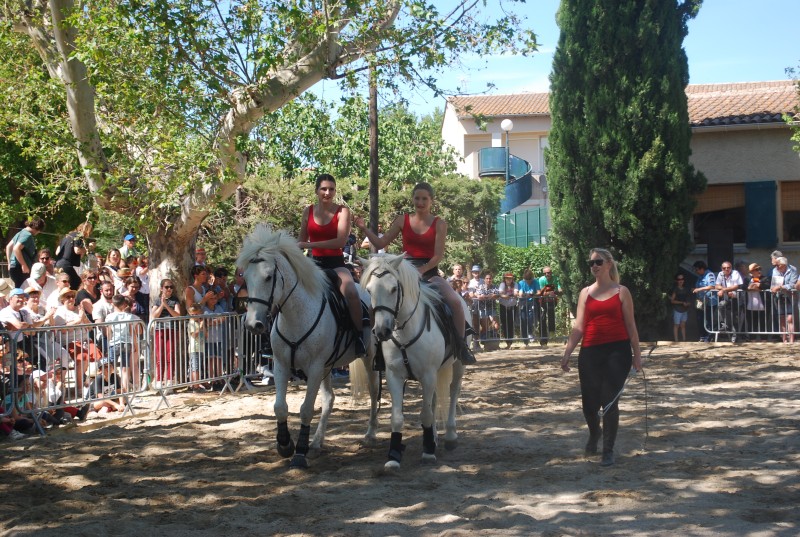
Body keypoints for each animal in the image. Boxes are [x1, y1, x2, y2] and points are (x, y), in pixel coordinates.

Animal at [236, 224, 380, 466]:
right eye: (246, 277)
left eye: (268, 277)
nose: (253, 324)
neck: (297, 315)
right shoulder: (282, 365)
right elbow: (280, 407)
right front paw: (285, 445)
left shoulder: (313, 367)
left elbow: (305, 410)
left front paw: (299, 453)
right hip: (328, 366)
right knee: (329, 399)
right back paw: (317, 443)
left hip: (368, 358)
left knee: (373, 390)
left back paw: (370, 435)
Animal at [360, 253, 466, 466]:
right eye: (369, 290)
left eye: (394, 288)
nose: (382, 331)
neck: (405, 331)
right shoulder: (395, 375)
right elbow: (398, 417)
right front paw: (394, 456)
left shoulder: (428, 375)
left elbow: (425, 414)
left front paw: (428, 452)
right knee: (434, 401)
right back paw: (434, 437)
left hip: (457, 365)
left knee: (453, 391)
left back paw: (450, 436)